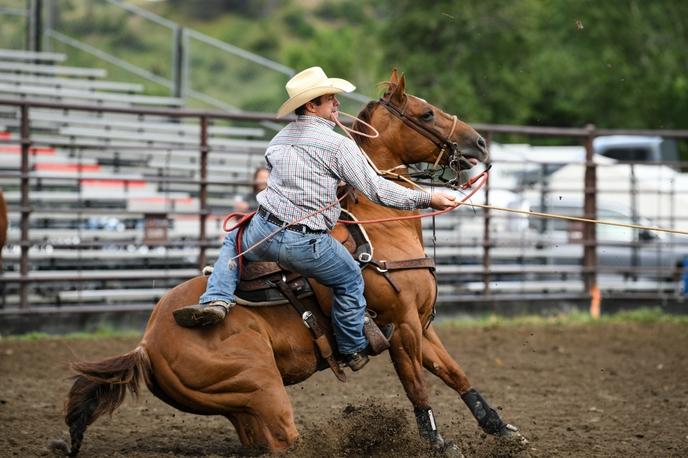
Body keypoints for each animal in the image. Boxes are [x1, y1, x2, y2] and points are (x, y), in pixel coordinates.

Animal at [61, 70, 524, 456]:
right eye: (426, 112)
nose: (480, 143)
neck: (379, 228)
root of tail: (146, 344)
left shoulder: (422, 325)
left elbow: (455, 374)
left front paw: (500, 428)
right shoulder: (403, 324)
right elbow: (418, 388)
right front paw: (438, 442)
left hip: (242, 404)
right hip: (262, 386)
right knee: (287, 440)